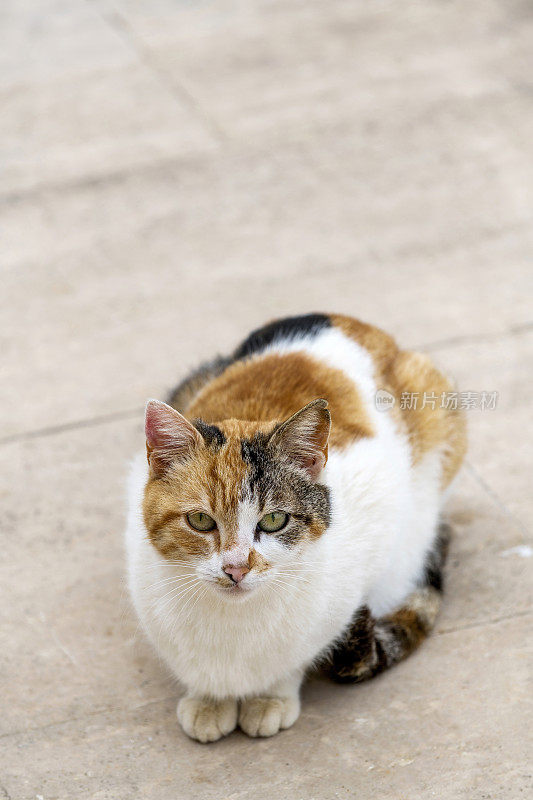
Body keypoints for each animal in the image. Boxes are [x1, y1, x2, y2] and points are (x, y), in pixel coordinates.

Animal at [125, 312, 466, 744]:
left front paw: (271, 695)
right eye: (200, 521)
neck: (234, 620)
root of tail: (342, 318)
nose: (236, 568)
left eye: (274, 520)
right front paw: (209, 700)